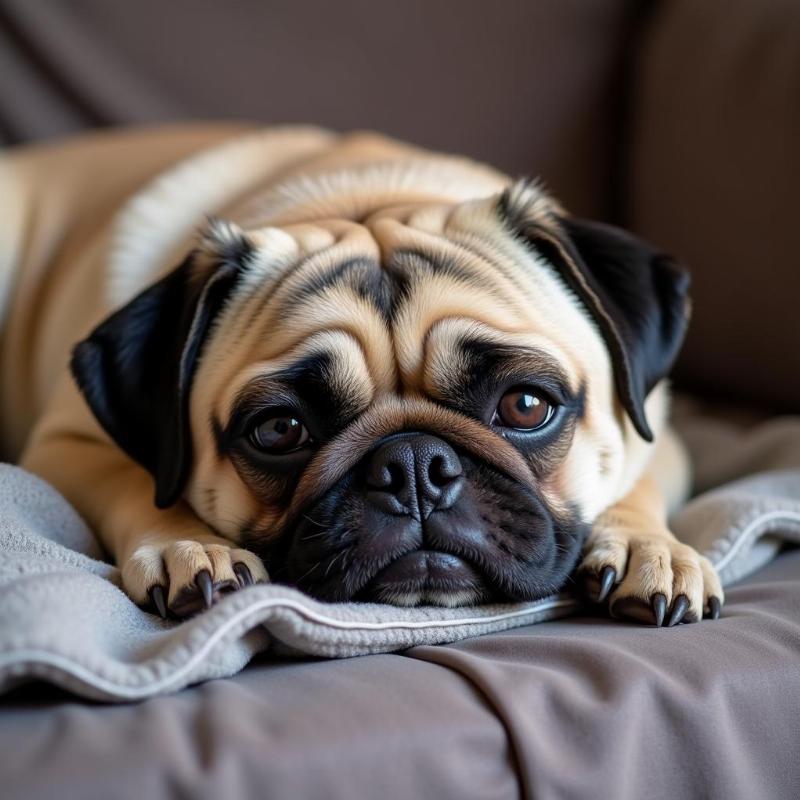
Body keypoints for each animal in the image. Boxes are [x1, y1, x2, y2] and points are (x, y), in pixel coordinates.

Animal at [0, 125, 720, 624]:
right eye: (280, 430)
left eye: (525, 407)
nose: (413, 465)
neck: (365, 196)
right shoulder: (65, 445)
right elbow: (137, 482)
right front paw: (187, 543)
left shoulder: (664, 433)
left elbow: (638, 477)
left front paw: (644, 546)